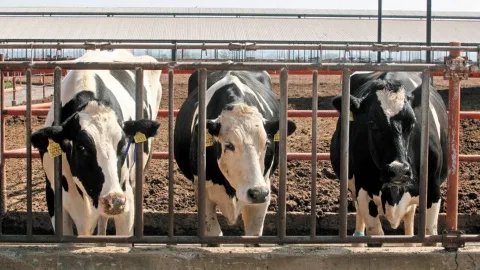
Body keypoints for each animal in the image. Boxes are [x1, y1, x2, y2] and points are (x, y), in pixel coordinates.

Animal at [175, 70, 296, 244]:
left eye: (266, 144)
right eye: (229, 145)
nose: (257, 193)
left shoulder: (262, 192)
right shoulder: (203, 192)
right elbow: (213, 234)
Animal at [330, 71, 446, 247]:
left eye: (412, 123)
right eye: (372, 123)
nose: (398, 171)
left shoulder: (433, 189)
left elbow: (429, 234)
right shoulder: (363, 190)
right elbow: (375, 234)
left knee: (409, 213)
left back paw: (409, 243)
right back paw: (357, 241)